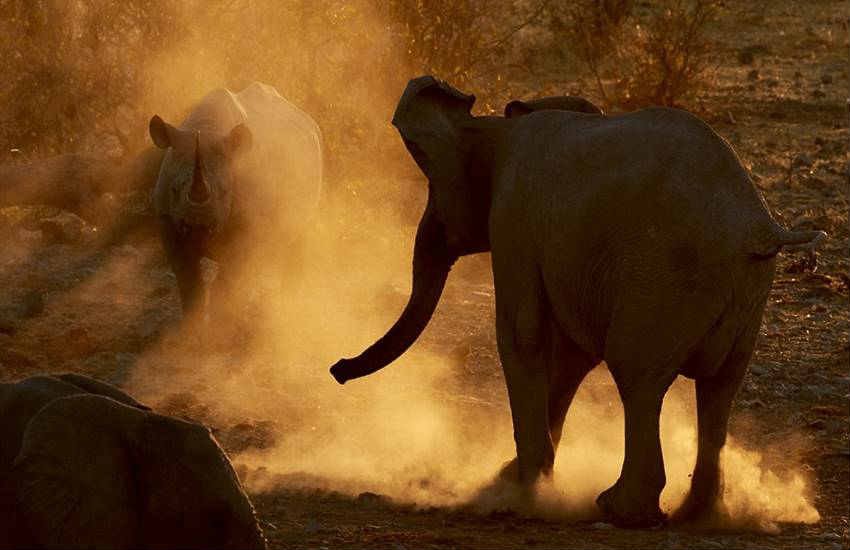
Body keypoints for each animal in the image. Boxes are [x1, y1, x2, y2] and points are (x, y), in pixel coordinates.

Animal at [149, 82, 322, 319]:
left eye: (225, 192)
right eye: (174, 190)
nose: (198, 230)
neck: (206, 128)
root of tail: (308, 119)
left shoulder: (244, 226)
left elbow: (228, 280)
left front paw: (218, 323)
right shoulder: (168, 219)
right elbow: (188, 280)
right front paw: (192, 325)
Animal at [329, 76, 826, 527]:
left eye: (433, 187)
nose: (337, 370)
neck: (494, 126)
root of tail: (760, 229)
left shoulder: (514, 218)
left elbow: (523, 335)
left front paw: (521, 493)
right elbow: (570, 358)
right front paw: (511, 478)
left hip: (667, 281)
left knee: (638, 377)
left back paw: (621, 510)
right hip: (745, 295)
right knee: (719, 389)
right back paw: (699, 515)